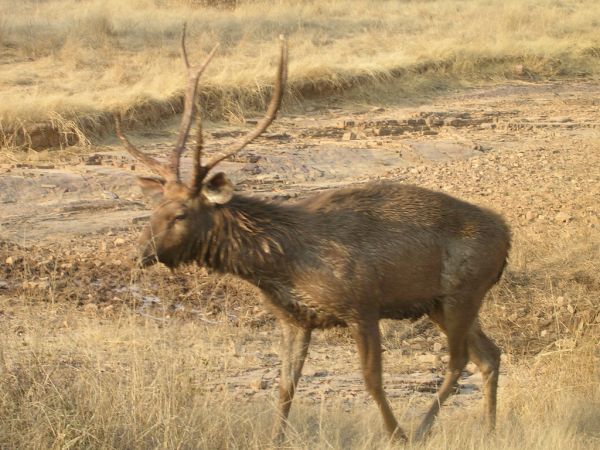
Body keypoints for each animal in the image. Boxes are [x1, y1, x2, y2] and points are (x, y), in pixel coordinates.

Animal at [116, 27, 510, 442]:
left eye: (181, 213)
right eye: (154, 208)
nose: (139, 253)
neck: (280, 264)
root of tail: (507, 237)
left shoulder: (362, 305)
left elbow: (372, 381)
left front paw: (395, 435)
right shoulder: (295, 319)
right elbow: (285, 385)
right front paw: (275, 439)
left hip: (463, 291)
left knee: (459, 359)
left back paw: (419, 430)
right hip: (437, 303)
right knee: (489, 355)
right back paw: (489, 429)